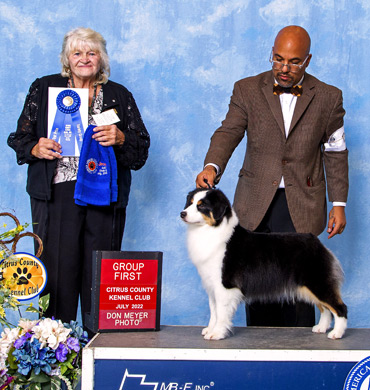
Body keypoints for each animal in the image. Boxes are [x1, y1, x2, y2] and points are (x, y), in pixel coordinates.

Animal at [181, 188, 348, 338]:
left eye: (201, 205)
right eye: (190, 203)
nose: (182, 213)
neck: (211, 230)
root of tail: (317, 243)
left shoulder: (224, 285)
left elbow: (221, 312)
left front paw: (216, 333)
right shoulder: (211, 283)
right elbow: (213, 310)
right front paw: (210, 329)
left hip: (317, 281)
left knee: (339, 307)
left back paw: (336, 333)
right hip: (309, 286)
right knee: (325, 309)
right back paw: (321, 328)